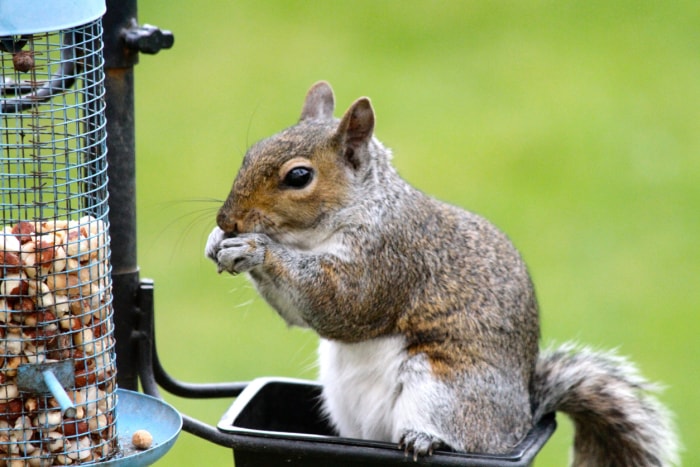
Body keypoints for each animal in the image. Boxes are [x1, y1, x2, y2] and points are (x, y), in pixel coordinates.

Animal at [206, 82, 680, 466]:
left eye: (299, 176)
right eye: (250, 153)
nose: (228, 219)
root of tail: (519, 421)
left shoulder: (391, 259)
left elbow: (341, 305)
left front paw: (255, 248)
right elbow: (300, 314)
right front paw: (217, 241)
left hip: (444, 388)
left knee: (460, 435)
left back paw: (425, 439)